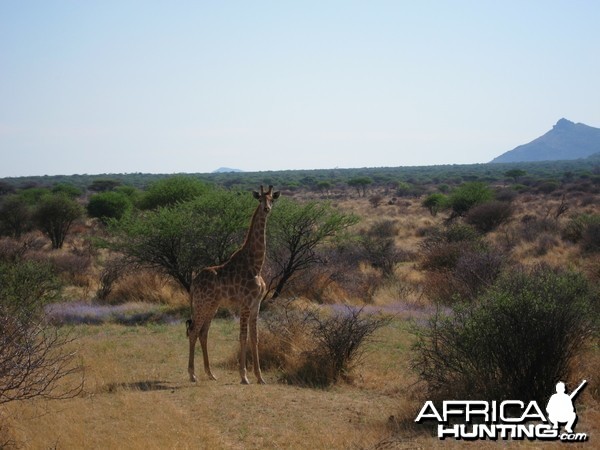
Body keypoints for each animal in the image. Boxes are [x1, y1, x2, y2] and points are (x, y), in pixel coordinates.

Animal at [186, 185, 280, 384]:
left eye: (271, 199)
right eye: (260, 199)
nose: (267, 209)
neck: (256, 264)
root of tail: (193, 284)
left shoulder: (256, 304)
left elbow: (254, 338)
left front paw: (260, 377)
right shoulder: (245, 303)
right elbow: (243, 337)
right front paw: (244, 376)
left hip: (212, 305)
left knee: (203, 332)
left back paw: (210, 373)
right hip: (202, 304)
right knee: (193, 331)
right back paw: (192, 375)